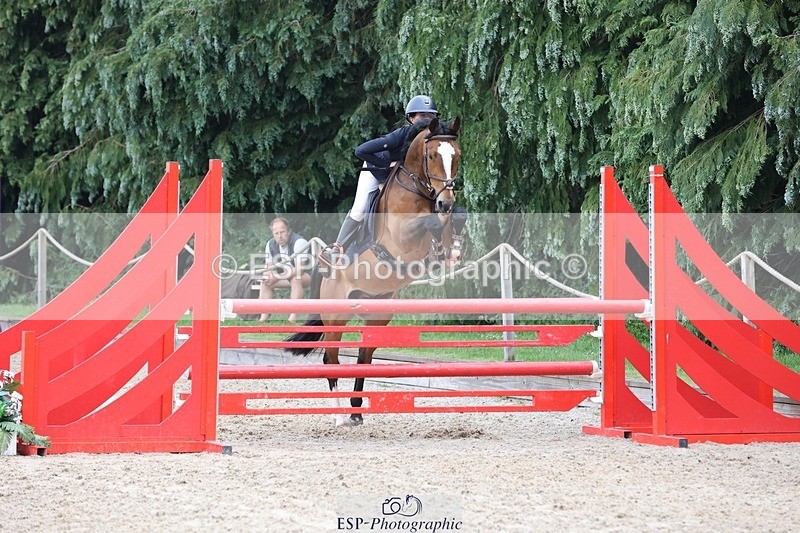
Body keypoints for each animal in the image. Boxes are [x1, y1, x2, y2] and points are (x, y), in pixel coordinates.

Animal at [286, 116, 464, 427]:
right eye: (432, 156)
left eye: (457, 156)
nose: (446, 201)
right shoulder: (402, 237)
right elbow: (428, 224)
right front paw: (439, 244)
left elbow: (451, 222)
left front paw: (449, 250)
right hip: (336, 317)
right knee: (331, 359)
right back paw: (339, 416)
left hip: (378, 313)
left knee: (364, 356)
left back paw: (357, 411)